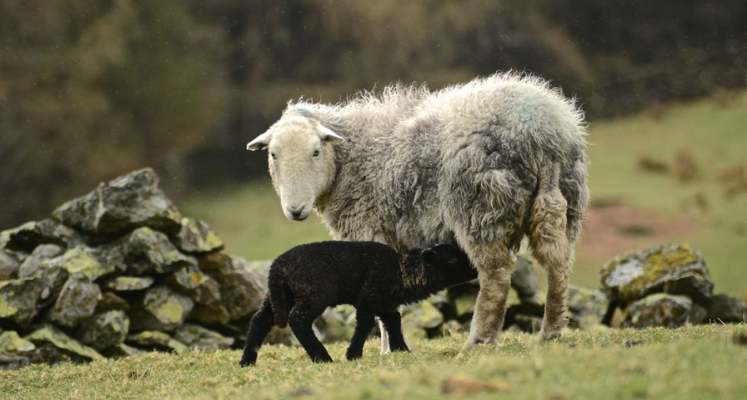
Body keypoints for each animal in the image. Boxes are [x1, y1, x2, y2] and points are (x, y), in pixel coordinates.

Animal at [240, 241, 476, 366]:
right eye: (452, 259)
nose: (476, 268)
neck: (399, 273)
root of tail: (277, 266)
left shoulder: (383, 301)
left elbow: (394, 321)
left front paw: (401, 350)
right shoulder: (368, 297)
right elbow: (365, 324)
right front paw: (353, 355)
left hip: (278, 296)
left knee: (259, 320)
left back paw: (247, 361)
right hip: (314, 293)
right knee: (297, 321)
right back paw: (322, 357)